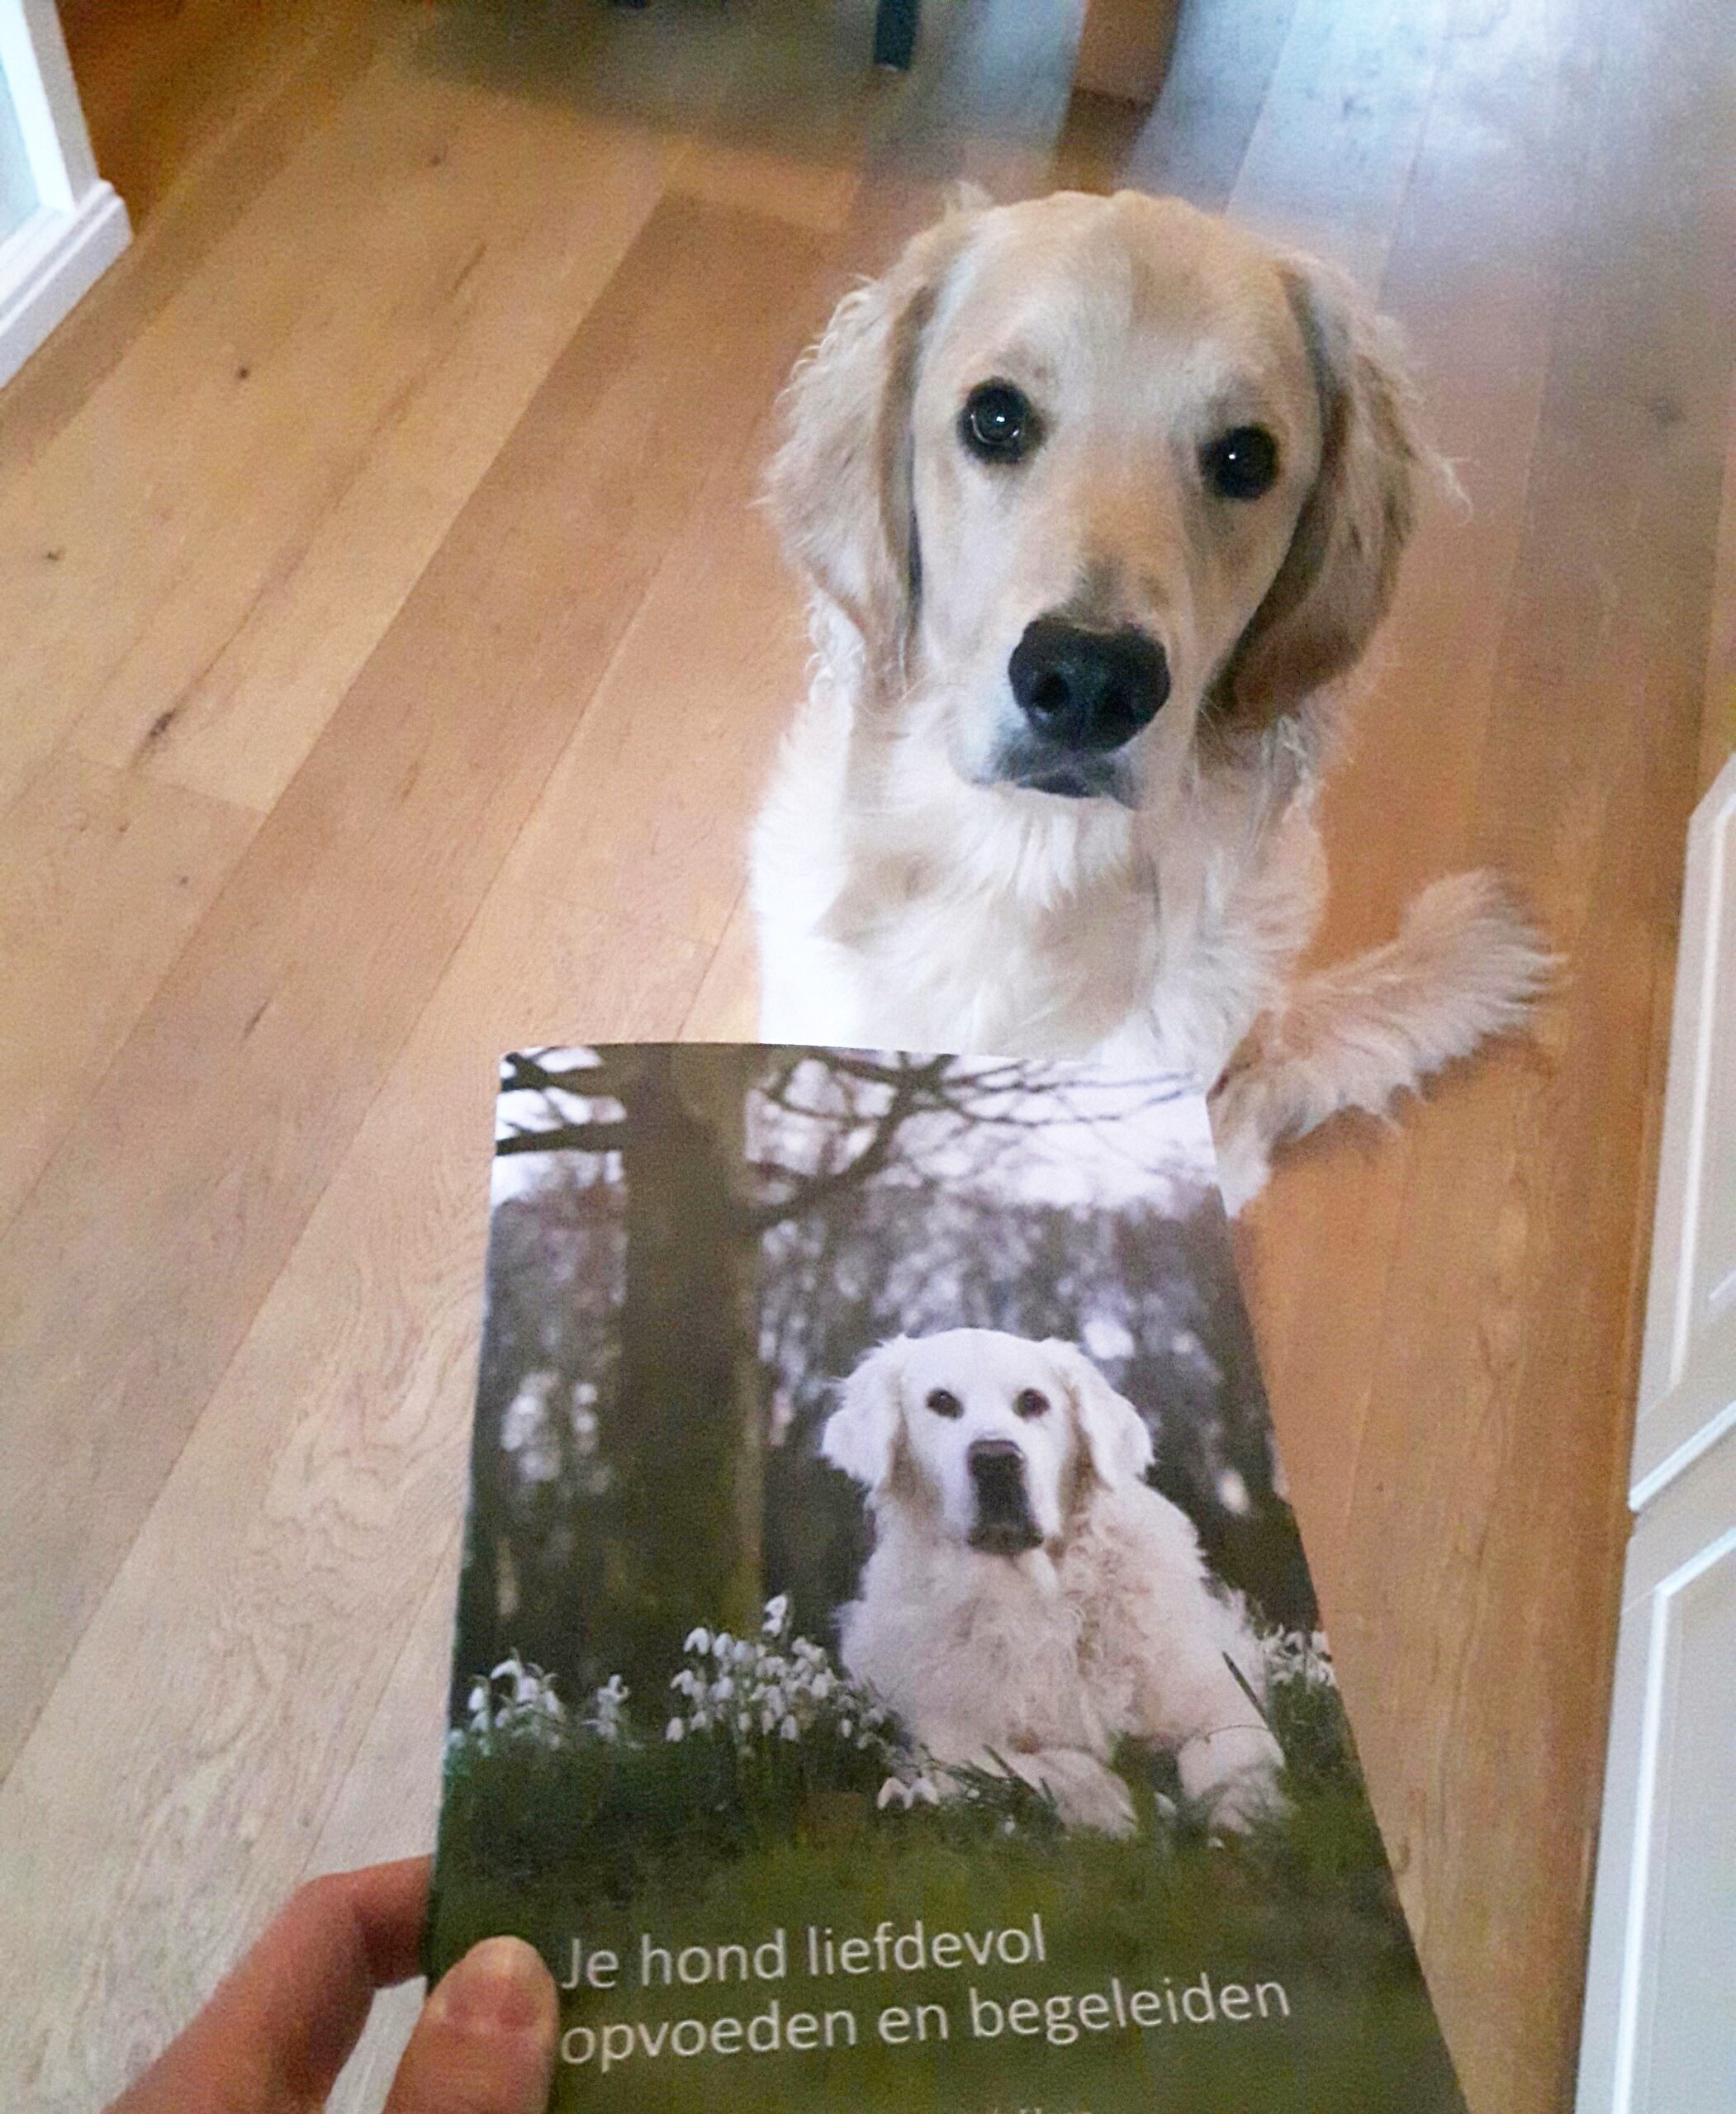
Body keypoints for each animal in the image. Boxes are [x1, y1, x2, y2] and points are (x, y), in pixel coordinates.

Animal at [820, 1335, 1277, 1835]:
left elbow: (1222, 1762)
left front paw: (1242, 1822)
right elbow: (1044, 1766)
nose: (997, 1460)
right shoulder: (950, 1744)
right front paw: (1115, 1804)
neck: (1038, 1599)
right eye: (941, 1402)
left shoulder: (1221, 1699)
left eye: (1032, 1402)